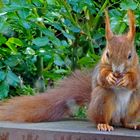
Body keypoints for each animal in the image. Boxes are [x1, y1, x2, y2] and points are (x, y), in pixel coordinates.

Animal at [0, 10, 139, 131]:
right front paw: (109, 76)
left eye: (130, 56)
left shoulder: (138, 68)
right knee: (101, 116)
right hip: (102, 99)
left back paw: (132, 124)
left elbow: (136, 80)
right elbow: (100, 77)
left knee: (125, 120)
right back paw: (103, 124)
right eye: (107, 54)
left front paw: (127, 78)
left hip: (136, 104)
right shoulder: (99, 68)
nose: (117, 72)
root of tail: (116, 119)